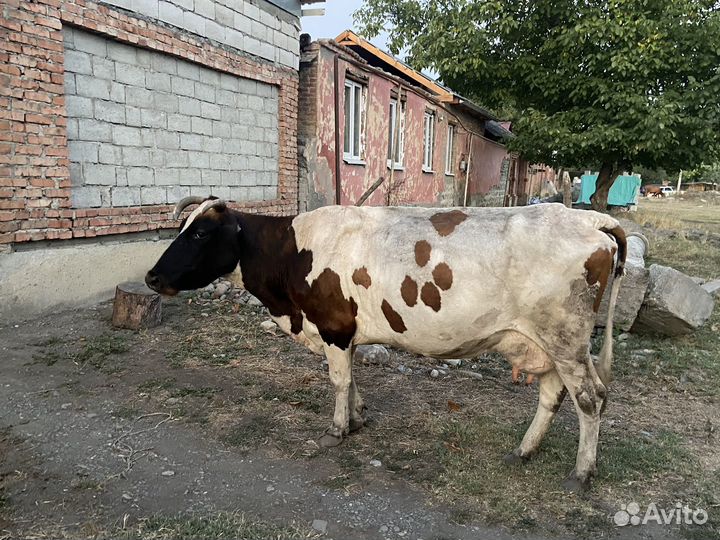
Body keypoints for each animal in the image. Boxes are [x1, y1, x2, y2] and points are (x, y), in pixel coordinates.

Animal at [145, 197, 626, 492]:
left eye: (200, 234)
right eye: (182, 227)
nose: (151, 276)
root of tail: (589, 218)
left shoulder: (334, 326)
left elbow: (339, 381)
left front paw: (337, 429)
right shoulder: (346, 332)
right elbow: (353, 378)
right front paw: (358, 418)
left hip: (566, 339)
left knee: (591, 398)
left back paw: (581, 473)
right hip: (544, 344)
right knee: (552, 394)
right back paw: (524, 451)